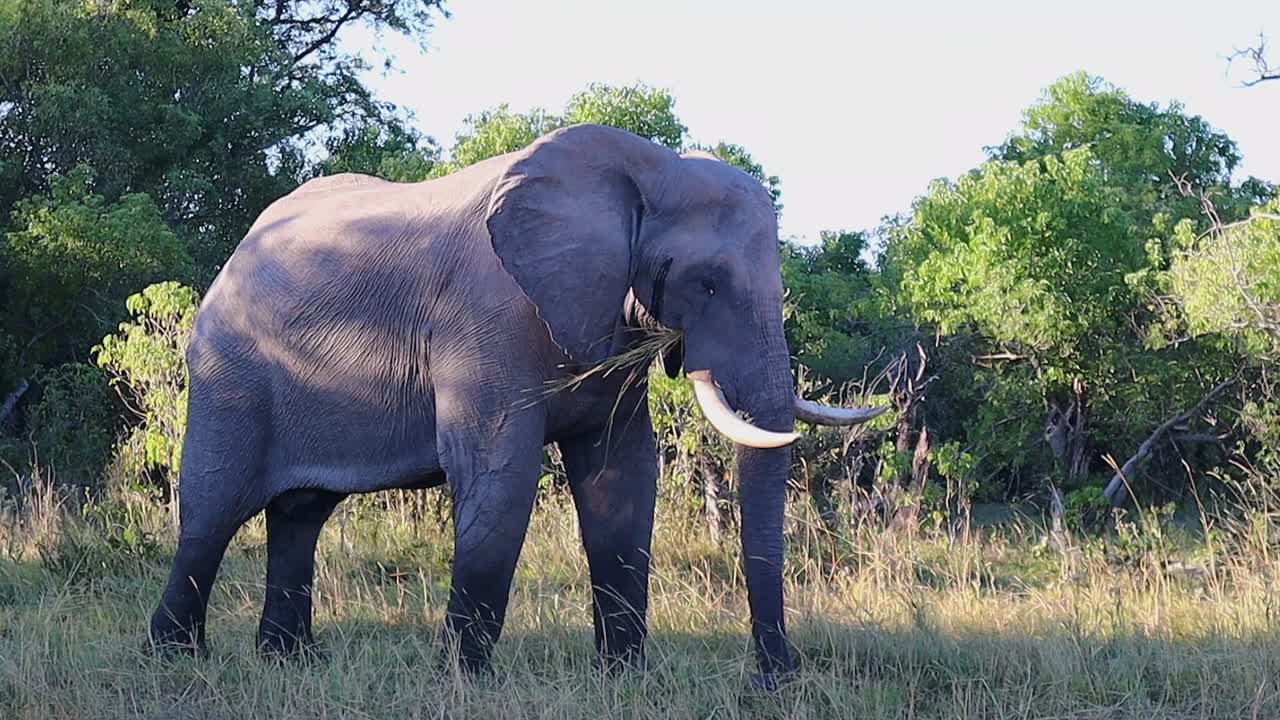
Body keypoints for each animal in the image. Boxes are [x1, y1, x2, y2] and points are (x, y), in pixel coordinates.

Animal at [145, 123, 882, 684]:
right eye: (704, 284)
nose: (775, 678)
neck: (644, 170)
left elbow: (621, 477)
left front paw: (625, 680)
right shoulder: (490, 314)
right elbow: (501, 472)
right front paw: (462, 681)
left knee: (301, 513)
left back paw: (288, 663)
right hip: (230, 370)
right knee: (212, 510)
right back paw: (175, 659)